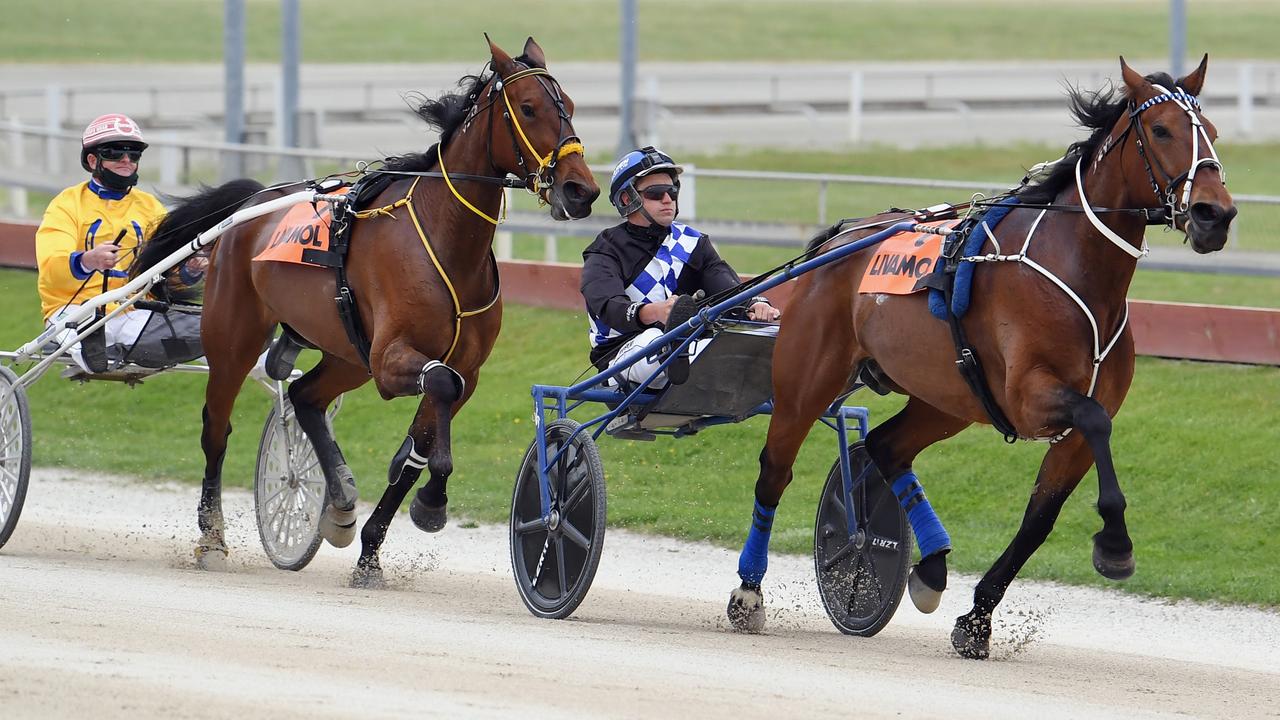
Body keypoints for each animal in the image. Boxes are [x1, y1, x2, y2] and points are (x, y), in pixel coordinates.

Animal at [129, 37, 599, 584]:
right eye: (527, 108)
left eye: (570, 106)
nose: (581, 190)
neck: (445, 239)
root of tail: (252, 202)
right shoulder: (391, 358)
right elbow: (440, 390)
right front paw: (432, 503)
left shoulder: (464, 366)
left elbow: (419, 444)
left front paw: (373, 548)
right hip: (235, 337)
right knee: (215, 429)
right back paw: (212, 537)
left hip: (347, 355)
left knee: (306, 397)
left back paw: (338, 505)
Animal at [732, 53, 1239, 653]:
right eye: (1161, 130)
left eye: (1213, 132)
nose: (1214, 215)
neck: (1077, 270)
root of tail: (838, 241)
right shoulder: (1029, 396)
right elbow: (1093, 421)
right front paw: (1115, 546)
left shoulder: (1069, 426)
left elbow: (1040, 517)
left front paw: (976, 618)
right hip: (807, 381)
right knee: (775, 472)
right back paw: (747, 593)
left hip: (946, 398)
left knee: (886, 447)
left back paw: (931, 567)